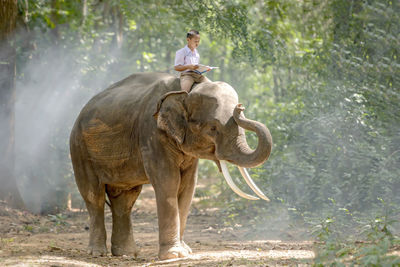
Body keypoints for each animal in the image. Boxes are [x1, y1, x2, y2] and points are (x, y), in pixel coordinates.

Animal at [70, 72, 274, 260]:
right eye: (213, 128)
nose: (240, 108)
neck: (187, 90)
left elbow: (188, 186)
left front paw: (186, 251)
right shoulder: (152, 133)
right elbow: (169, 182)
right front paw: (173, 255)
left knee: (125, 199)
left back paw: (127, 253)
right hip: (79, 149)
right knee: (94, 196)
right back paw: (97, 253)